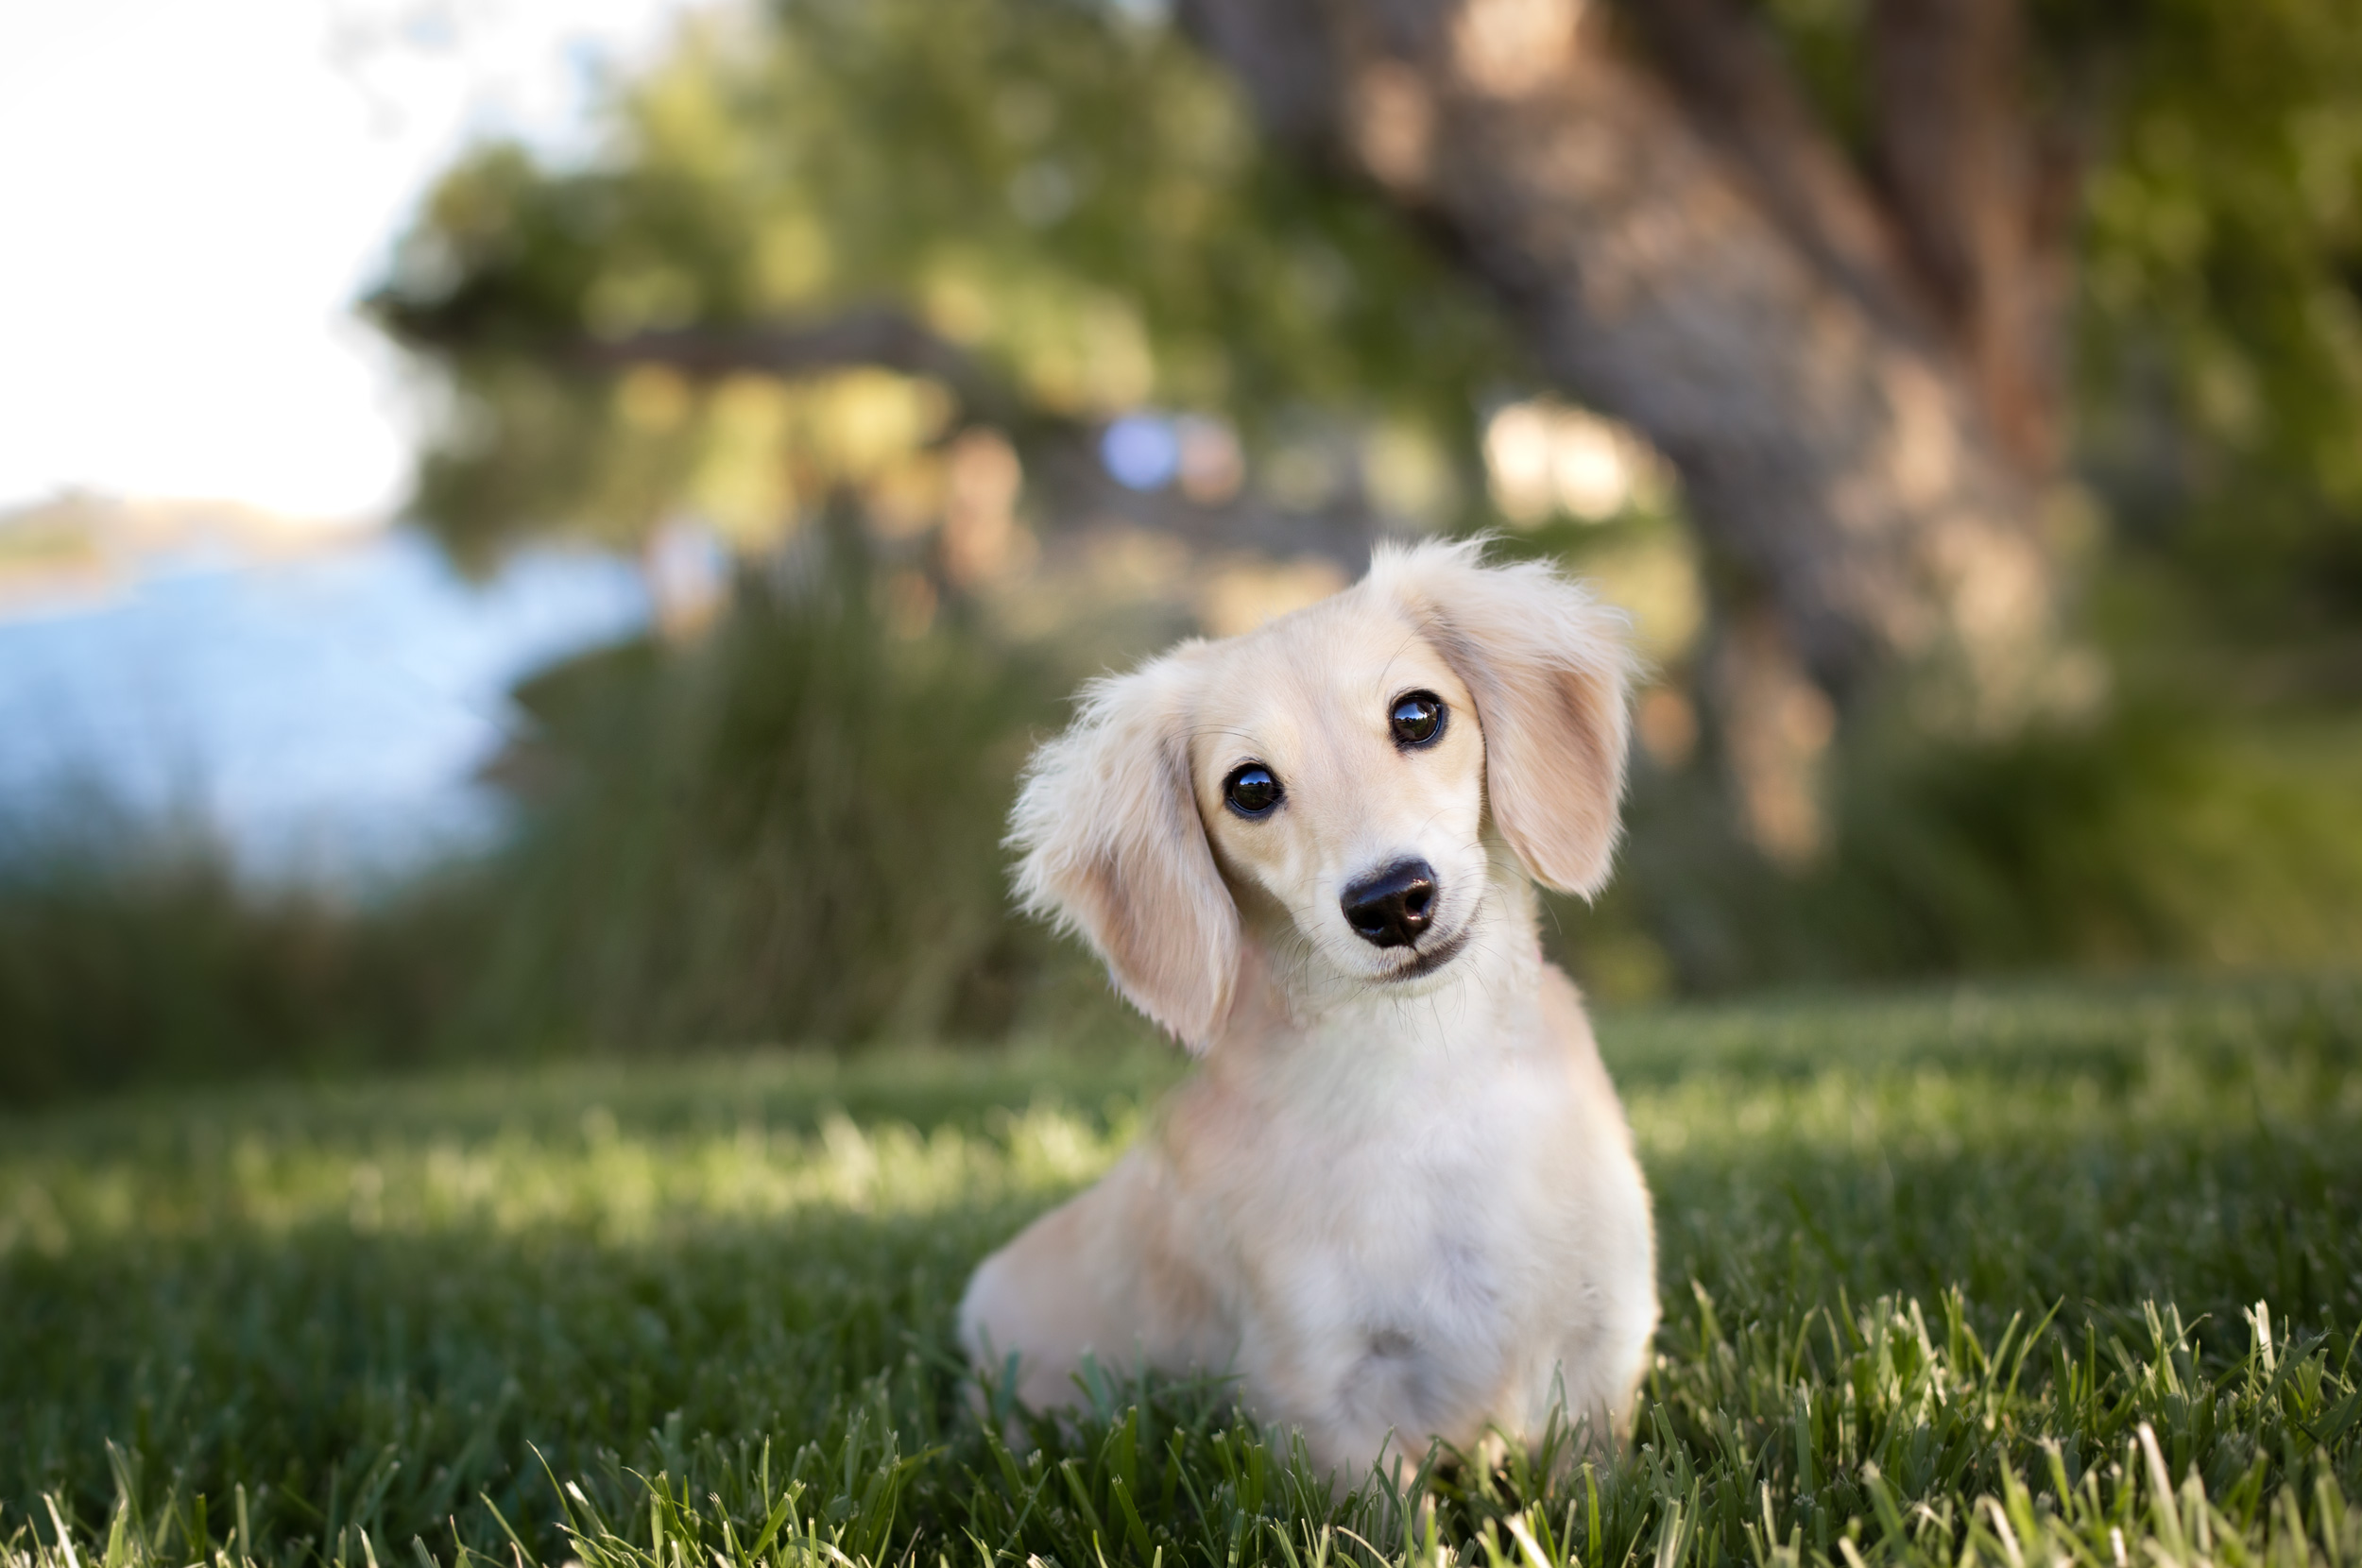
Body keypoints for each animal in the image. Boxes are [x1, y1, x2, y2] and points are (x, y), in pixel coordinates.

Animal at [959, 538, 1663, 1483]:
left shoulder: (1601, 1345)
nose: (1392, 902)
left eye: (1418, 715)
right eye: (1251, 786)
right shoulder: (1325, 1396)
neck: (1430, 1081)